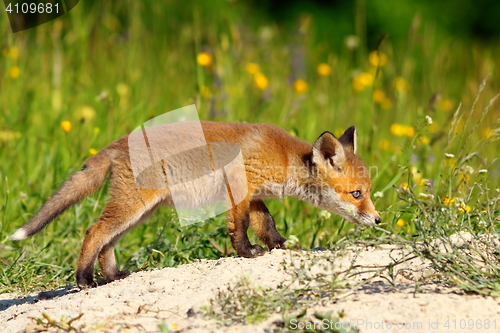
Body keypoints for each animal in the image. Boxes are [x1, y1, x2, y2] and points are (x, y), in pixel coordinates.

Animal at [10, 122, 378, 288]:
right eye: (357, 194)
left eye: (367, 191)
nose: (377, 220)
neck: (285, 158)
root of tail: (116, 143)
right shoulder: (239, 185)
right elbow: (241, 227)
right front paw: (247, 252)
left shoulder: (255, 195)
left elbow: (266, 223)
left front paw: (278, 246)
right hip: (133, 206)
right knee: (94, 232)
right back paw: (84, 280)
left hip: (140, 211)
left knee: (107, 243)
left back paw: (113, 275)